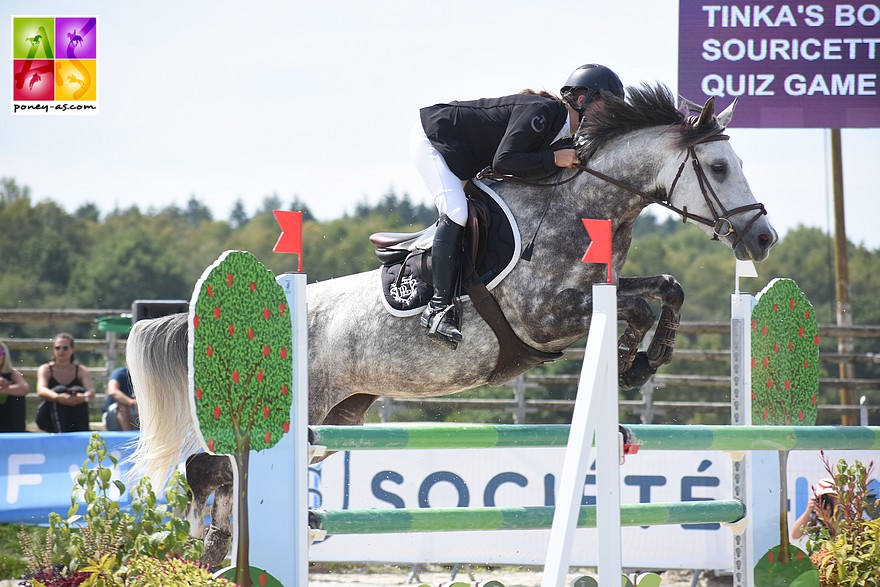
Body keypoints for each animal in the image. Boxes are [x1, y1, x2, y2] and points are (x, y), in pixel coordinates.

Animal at [125, 84, 776, 564]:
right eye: (720, 166)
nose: (764, 239)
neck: (576, 202)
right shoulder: (545, 317)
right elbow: (637, 307)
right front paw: (630, 366)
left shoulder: (593, 295)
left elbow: (667, 288)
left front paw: (645, 362)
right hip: (300, 412)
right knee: (213, 467)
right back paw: (204, 541)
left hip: (336, 417)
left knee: (231, 481)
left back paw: (220, 548)